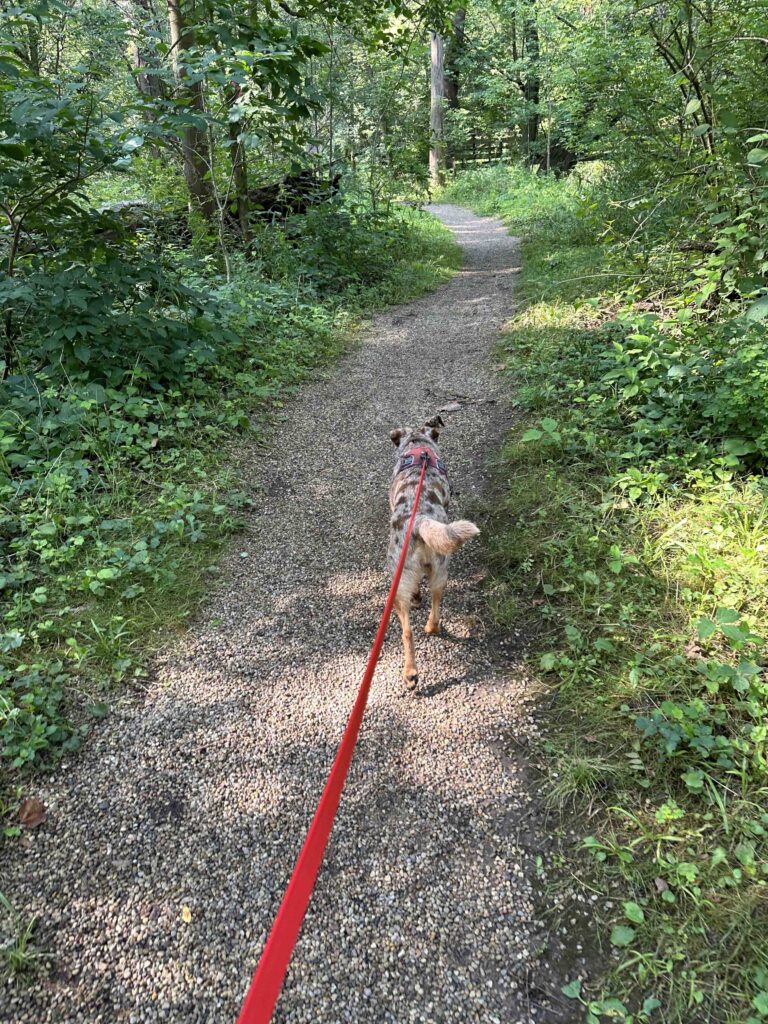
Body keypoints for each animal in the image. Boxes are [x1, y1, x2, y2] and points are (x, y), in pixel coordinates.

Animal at [391, 413, 481, 688]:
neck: (418, 447)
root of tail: (419, 520)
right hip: (440, 570)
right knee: (431, 611)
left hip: (399, 580)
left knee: (409, 627)